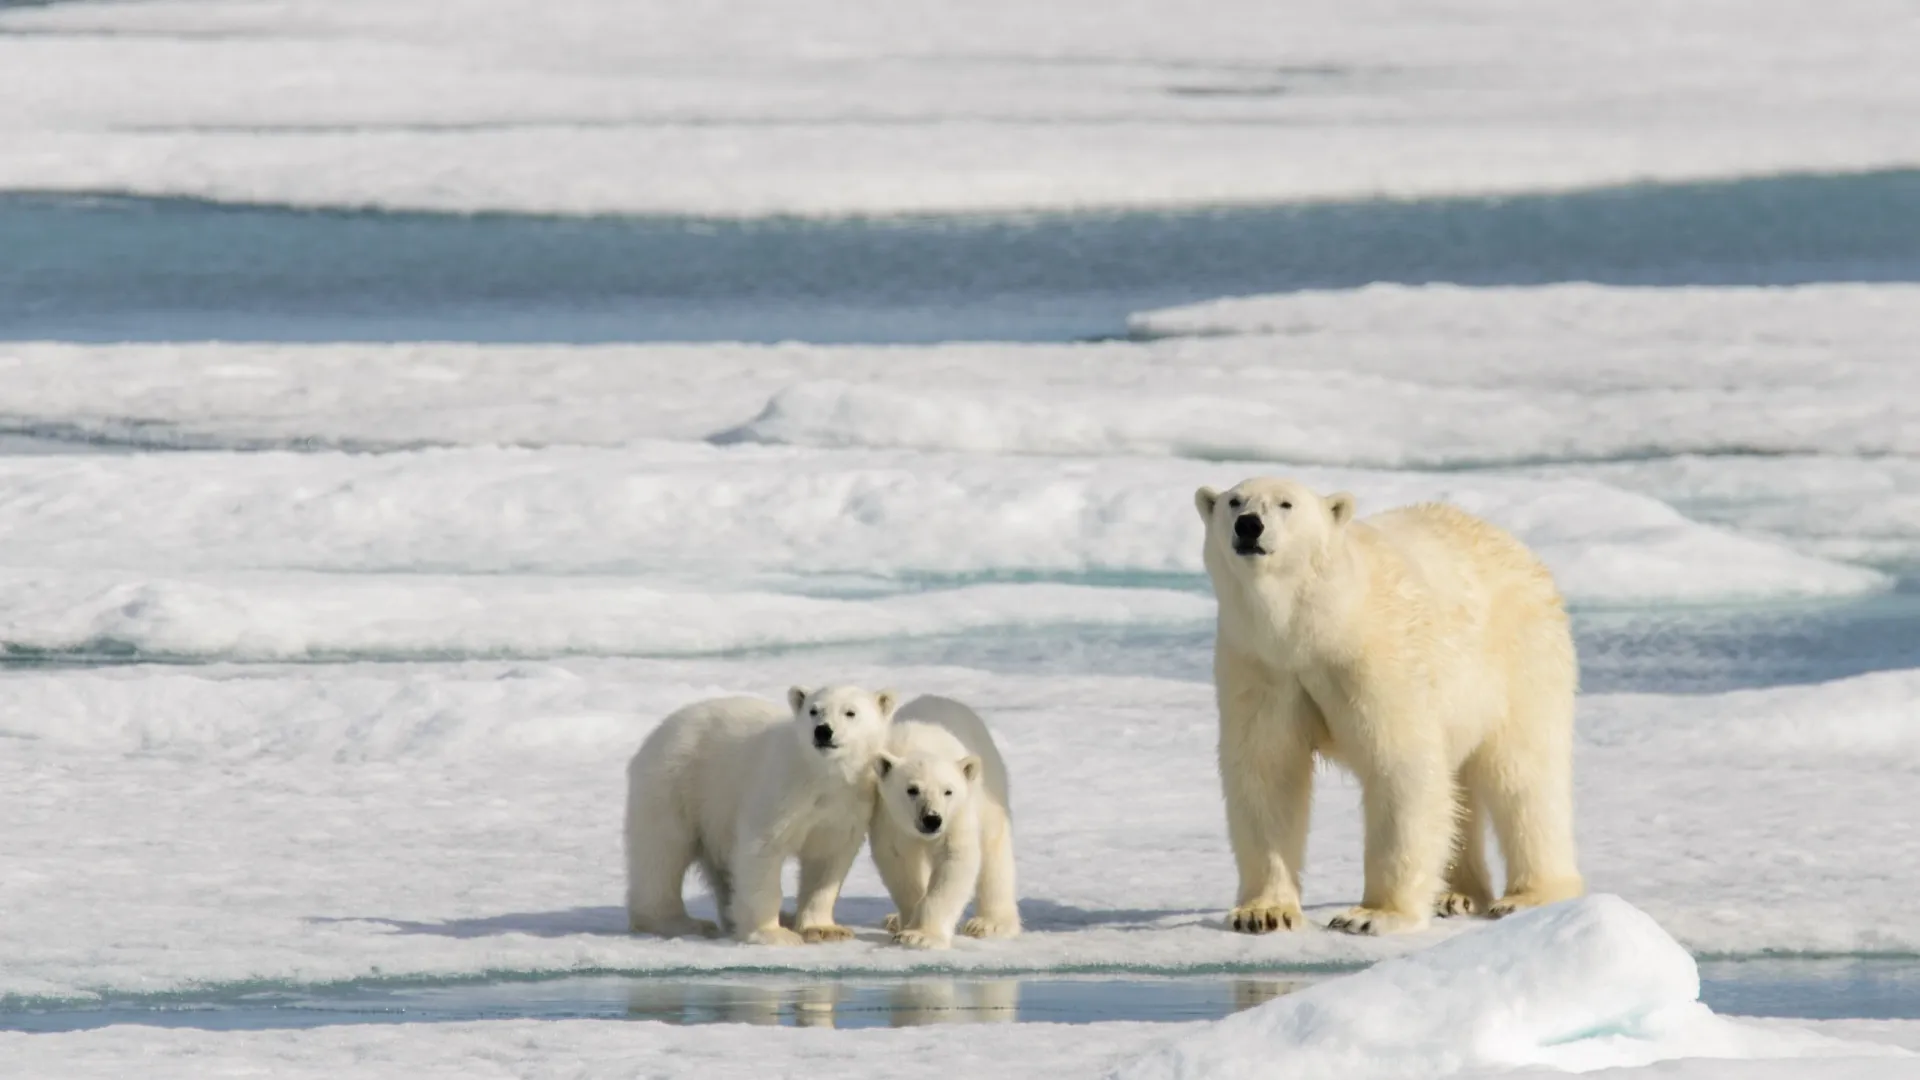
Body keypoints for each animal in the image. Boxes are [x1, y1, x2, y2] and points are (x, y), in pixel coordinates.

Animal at [629, 684, 898, 937]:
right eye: (813, 710)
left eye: (850, 712)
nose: (823, 730)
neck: (821, 776)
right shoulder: (780, 792)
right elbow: (762, 850)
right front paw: (773, 933)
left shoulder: (847, 805)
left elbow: (827, 861)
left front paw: (824, 929)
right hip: (676, 784)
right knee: (662, 853)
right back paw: (681, 922)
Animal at [871, 691, 1021, 945]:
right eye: (912, 790)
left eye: (948, 791)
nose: (932, 820)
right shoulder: (888, 815)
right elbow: (899, 861)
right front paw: (908, 923)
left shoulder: (958, 814)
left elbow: (954, 859)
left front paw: (920, 935)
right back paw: (891, 919)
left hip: (988, 787)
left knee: (994, 851)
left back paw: (990, 923)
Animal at [1190, 474, 1582, 930]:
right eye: (1234, 502)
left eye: (1286, 504)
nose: (1250, 525)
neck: (1316, 625)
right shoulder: (1261, 666)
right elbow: (1267, 770)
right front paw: (1263, 913)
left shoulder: (1376, 657)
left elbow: (1399, 767)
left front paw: (1371, 916)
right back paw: (1456, 894)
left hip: (1520, 658)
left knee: (1524, 776)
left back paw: (1529, 896)